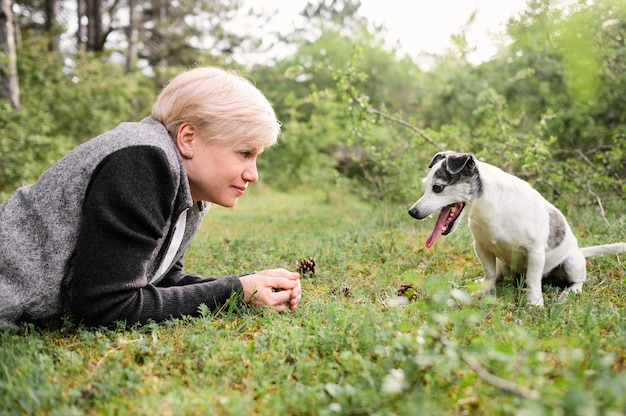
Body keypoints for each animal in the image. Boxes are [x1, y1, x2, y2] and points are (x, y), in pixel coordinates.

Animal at [408, 151, 620, 308]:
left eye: (437, 188)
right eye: (425, 186)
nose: (412, 212)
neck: (491, 209)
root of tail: (579, 250)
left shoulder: (535, 252)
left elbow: (533, 279)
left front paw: (535, 302)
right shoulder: (481, 247)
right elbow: (489, 273)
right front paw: (484, 289)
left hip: (571, 263)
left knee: (578, 280)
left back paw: (571, 291)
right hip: (503, 263)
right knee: (498, 273)